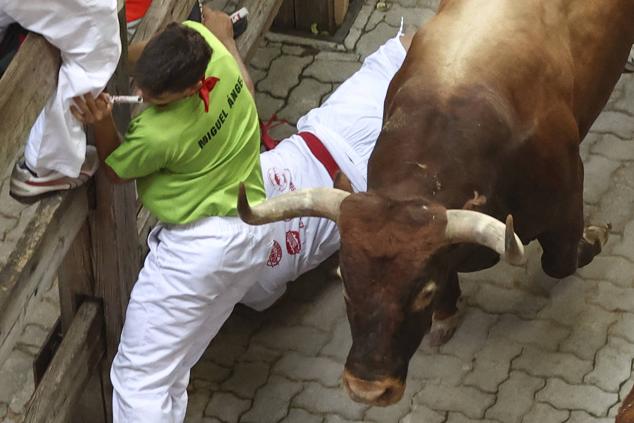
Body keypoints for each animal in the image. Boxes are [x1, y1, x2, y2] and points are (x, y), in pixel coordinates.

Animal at [236, 0, 632, 410]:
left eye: (422, 292)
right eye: (344, 279)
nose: (367, 389)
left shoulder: (567, 196)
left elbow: (560, 262)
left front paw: (597, 236)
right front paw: (446, 314)